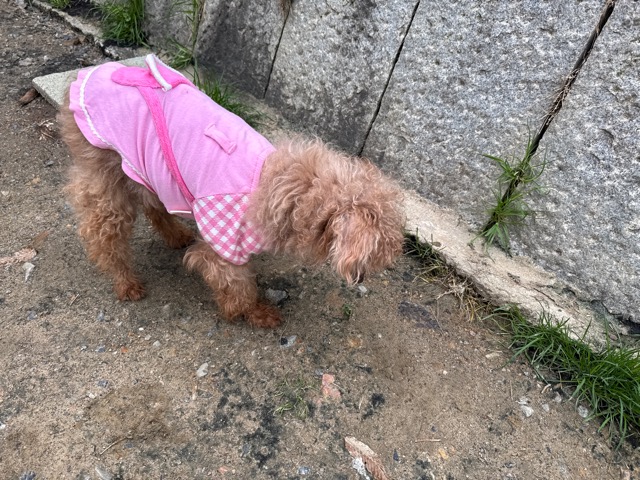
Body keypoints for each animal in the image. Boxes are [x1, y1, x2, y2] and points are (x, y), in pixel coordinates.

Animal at [58, 55, 404, 328]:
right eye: (379, 251)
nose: (374, 273)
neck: (289, 189)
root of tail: (85, 76)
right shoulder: (224, 247)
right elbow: (237, 287)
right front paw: (252, 313)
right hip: (105, 173)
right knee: (102, 234)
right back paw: (125, 282)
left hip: (147, 165)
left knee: (153, 205)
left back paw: (174, 235)